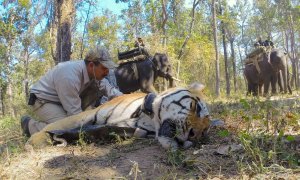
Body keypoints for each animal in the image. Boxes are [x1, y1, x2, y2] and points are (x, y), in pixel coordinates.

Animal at [27, 83, 211, 150]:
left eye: (203, 132)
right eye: (194, 107)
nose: (193, 134)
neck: (148, 118)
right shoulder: (88, 114)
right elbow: (57, 124)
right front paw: (35, 141)